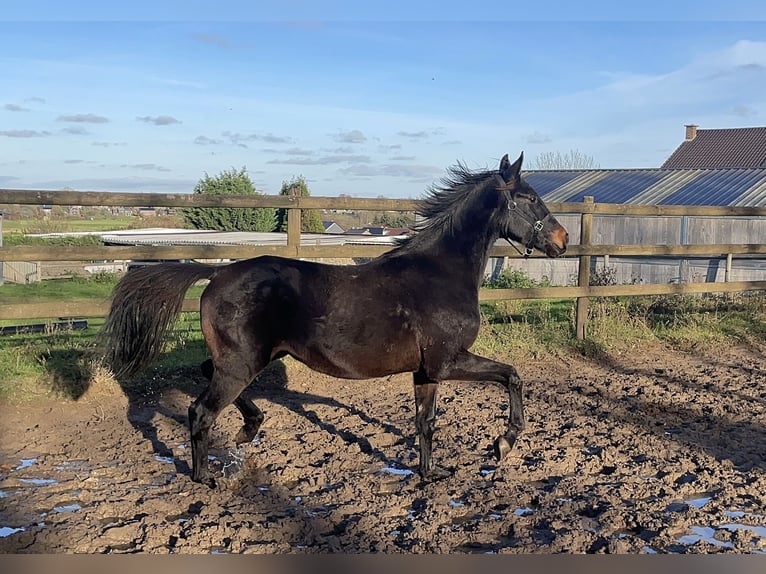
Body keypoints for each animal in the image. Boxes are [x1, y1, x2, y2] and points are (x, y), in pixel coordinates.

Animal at [100, 152, 568, 487]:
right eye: (530, 198)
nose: (562, 239)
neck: (439, 272)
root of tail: (216, 274)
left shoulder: (426, 371)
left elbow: (426, 422)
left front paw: (430, 473)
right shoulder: (449, 360)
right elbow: (512, 376)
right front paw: (503, 444)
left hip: (246, 360)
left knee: (206, 376)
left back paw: (248, 430)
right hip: (241, 364)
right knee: (200, 411)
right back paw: (206, 475)